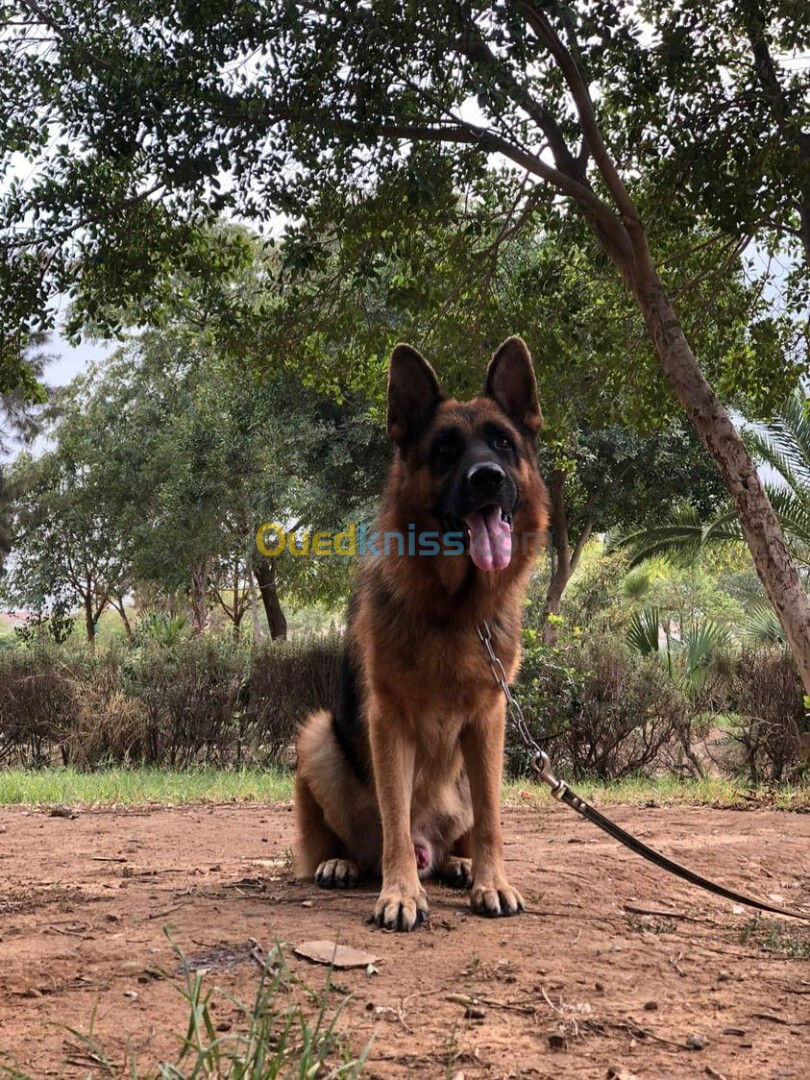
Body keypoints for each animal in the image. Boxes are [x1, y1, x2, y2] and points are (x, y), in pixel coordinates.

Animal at [298, 336, 552, 928]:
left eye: (502, 443)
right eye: (445, 450)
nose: (488, 478)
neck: (454, 610)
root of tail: (428, 849)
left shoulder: (489, 720)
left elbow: (492, 816)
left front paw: (491, 881)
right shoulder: (388, 721)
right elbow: (394, 813)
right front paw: (400, 893)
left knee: (462, 829)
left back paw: (458, 864)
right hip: (318, 738)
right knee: (357, 841)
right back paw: (344, 864)